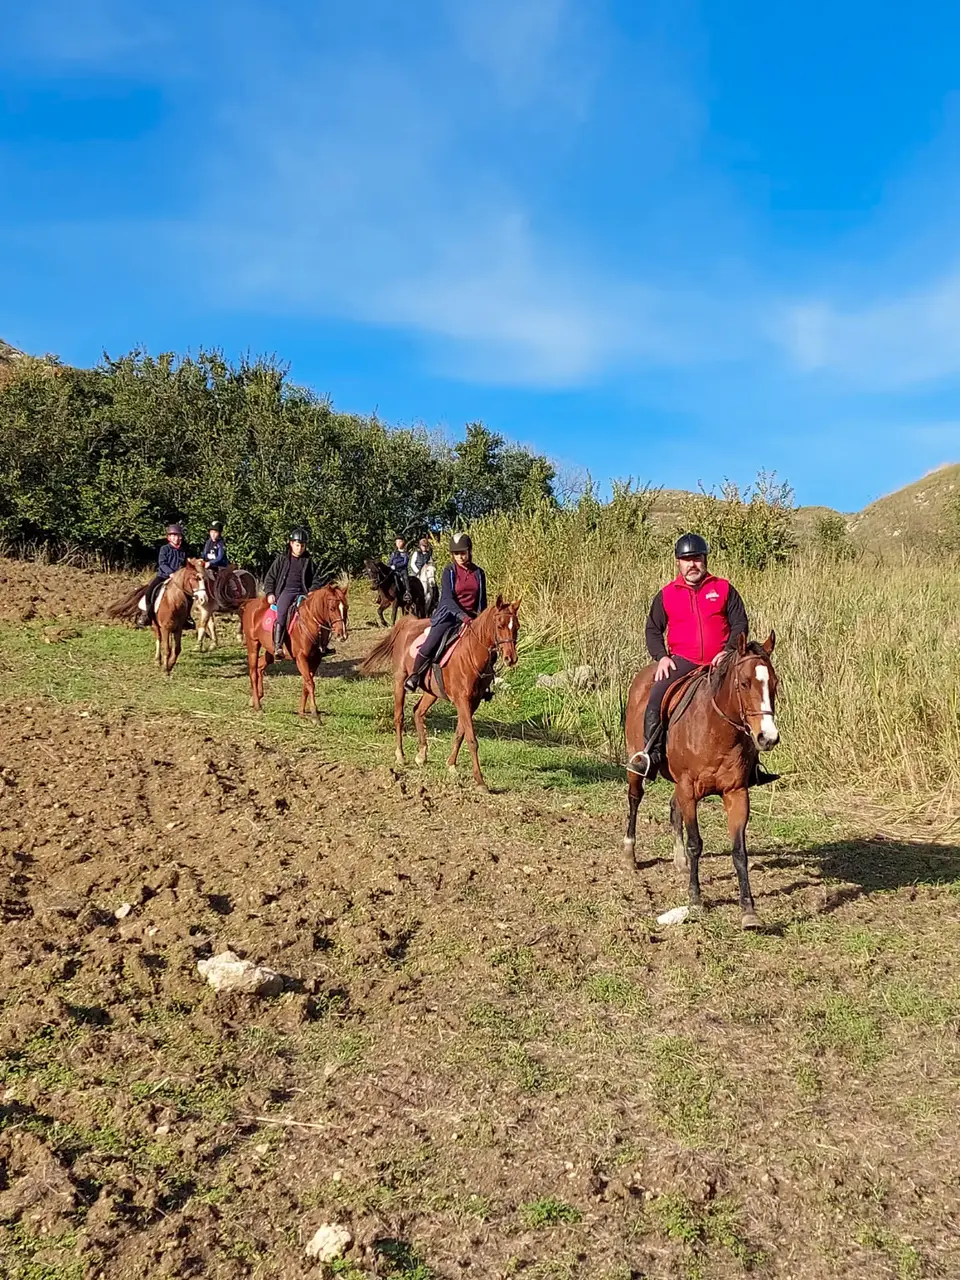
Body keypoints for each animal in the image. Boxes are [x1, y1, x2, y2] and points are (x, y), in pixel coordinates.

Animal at [239, 583, 349, 716]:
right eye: (332, 608)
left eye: (346, 608)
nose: (342, 635)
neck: (310, 623)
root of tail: (250, 603)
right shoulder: (301, 658)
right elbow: (310, 683)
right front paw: (314, 714)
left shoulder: (315, 659)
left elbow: (307, 683)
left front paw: (301, 711)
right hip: (253, 645)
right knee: (253, 673)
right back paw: (257, 705)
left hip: (270, 651)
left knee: (260, 666)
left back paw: (255, 699)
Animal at [360, 596, 520, 790]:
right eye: (499, 625)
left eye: (517, 626)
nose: (510, 659)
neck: (471, 653)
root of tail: (409, 622)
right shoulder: (462, 701)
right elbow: (472, 739)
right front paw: (480, 781)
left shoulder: (472, 702)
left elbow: (460, 733)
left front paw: (451, 765)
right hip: (399, 680)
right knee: (399, 716)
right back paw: (400, 755)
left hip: (432, 691)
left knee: (418, 711)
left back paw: (422, 754)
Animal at [622, 632, 780, 930]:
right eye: (745, 683)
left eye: (774, 684)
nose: (768, 738)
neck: (717, 731)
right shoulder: (688, 789)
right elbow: (696, 843)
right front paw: (695, 899)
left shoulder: (736, 792)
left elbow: (739, 851)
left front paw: (749, 910)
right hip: (637, 768)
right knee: (635, 800)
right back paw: (629, 855)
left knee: (674, 809)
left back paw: (680, 861)